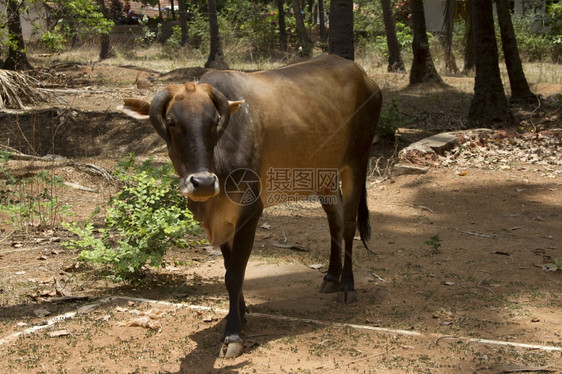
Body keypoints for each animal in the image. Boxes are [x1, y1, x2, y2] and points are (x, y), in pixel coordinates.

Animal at [118, 54, 380, 358]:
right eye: (171, 121)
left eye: (215, 121)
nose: (203, 183)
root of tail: (365, 78)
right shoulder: (220, 220)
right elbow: (230, 267)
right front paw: (240, 315)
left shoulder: (251, 211)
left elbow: (235, 274)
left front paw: (233, 334)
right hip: (322, 174)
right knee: (335, 221)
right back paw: (331, 277)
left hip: (357, 161)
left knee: (348, 224)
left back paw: (347, 285)